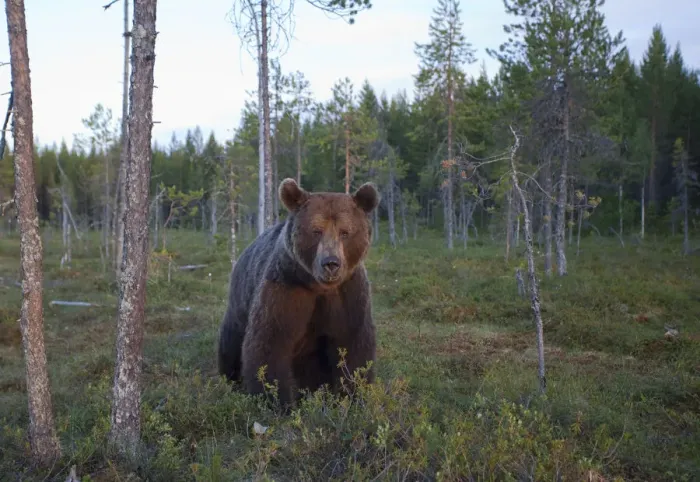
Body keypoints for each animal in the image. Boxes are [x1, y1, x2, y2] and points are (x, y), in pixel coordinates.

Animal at [217, 178, 380, 408]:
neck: (319, 287)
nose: (331, 263)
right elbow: (270, 343)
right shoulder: (287, 289)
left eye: (345, 232)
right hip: (240, 300)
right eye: (316, 230)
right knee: (231, 339)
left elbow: (352, 345)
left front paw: (352, 396)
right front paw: (277, 401)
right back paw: (230, 378)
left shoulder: (349, 294)